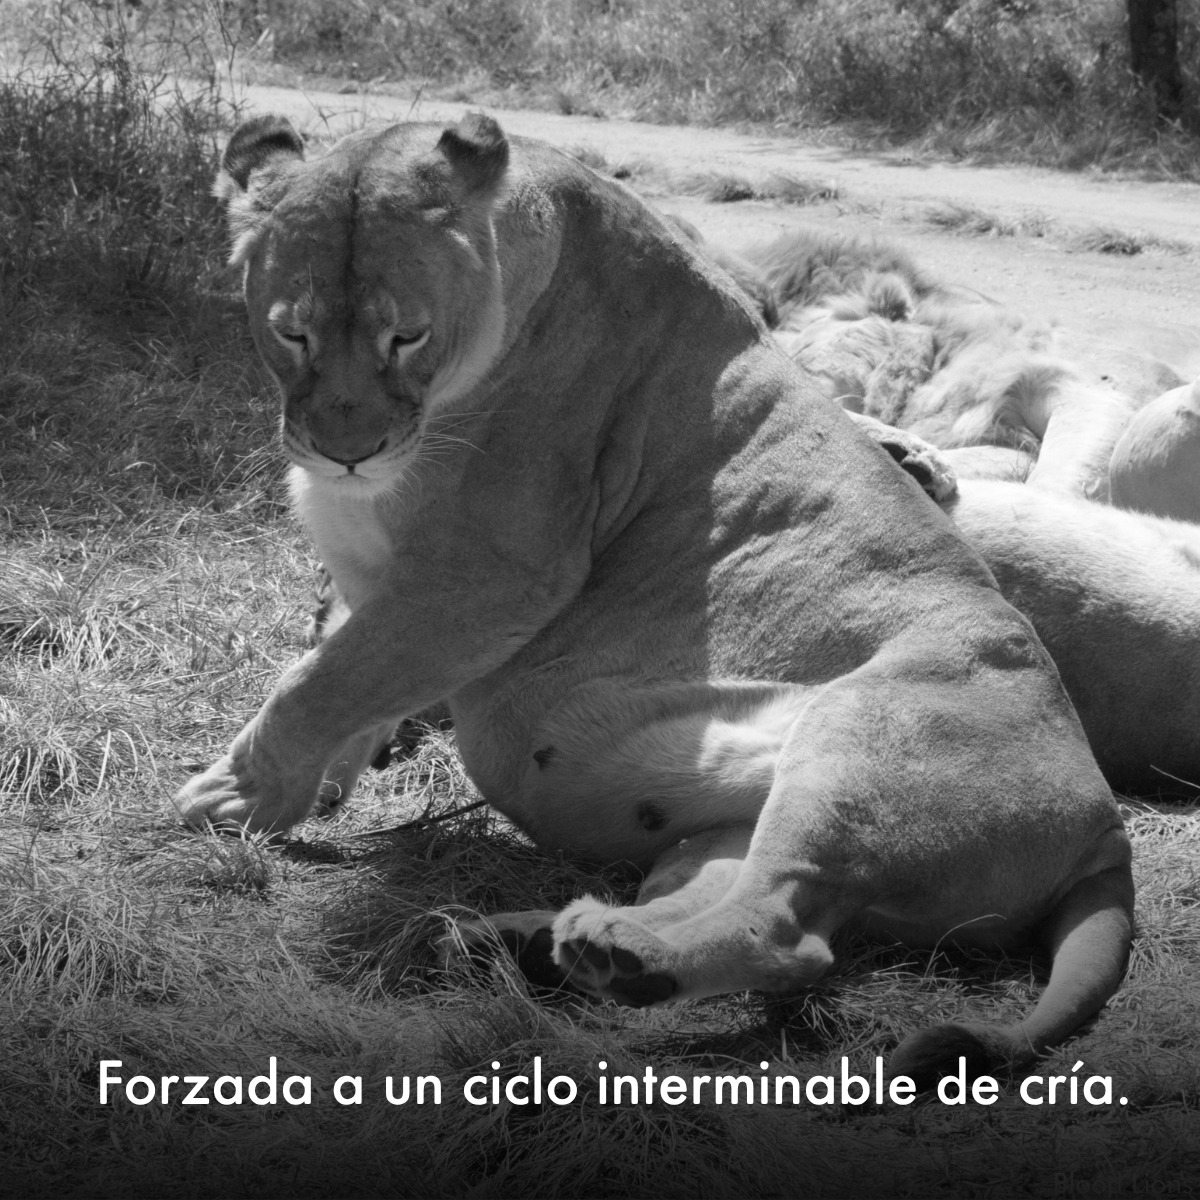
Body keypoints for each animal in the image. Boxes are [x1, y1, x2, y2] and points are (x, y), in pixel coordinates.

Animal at [178, 112, 1132, 1087]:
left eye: (405, 337)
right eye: (291, 335)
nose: (346, 453)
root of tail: (1106, 825)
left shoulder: (493, 574)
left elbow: (321, 681)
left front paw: (234, 795)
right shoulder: (391, 583)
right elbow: (348, 677)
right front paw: (313, 787)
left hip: (861, 738)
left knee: (790, 937)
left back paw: (594, 956)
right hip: (713, 833)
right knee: (744, 901)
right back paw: (540, 944)